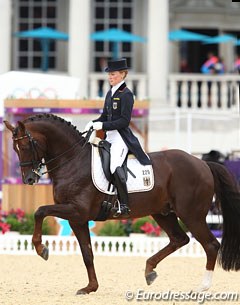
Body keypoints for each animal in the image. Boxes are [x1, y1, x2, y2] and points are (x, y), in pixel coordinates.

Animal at [3, 113, 240, 294]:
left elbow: (39, 211)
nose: (29, 179)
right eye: (15, 148)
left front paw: (41, 248)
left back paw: (202, 287)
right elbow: (87, 253)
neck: (73, 161)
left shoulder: (76, 211)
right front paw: (90, 287)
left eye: (27, 144)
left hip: (191, 214)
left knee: (211, 245)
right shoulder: (77, 219)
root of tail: (203, 163)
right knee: (179, 239)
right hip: (163, 212)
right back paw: (149, 270)